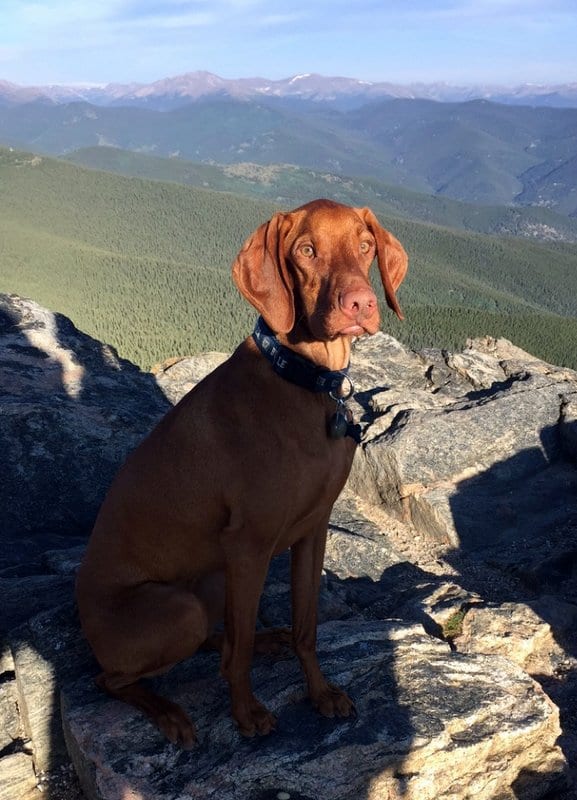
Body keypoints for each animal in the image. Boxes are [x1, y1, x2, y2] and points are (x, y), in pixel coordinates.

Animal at [76, 197, 408, 748]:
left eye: (364, 246)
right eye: (306, 251)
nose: (361, 305)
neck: (304, 383)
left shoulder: (313, 531)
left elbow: (305, 627)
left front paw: (320, 693)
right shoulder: (248, 546)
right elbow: (242, 648)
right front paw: (246, 712)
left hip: (212, 582)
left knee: (219, 638)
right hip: (181, 608)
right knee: (113, 678)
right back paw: (168, 712)